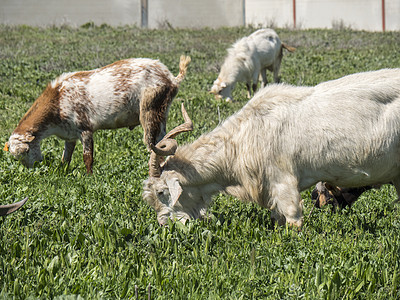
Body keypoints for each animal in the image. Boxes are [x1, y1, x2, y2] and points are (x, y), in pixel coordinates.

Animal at [3, 56, 191, 173]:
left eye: (26, 150)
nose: (33, 168)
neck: (57, 99)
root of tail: (171, 78)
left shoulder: (85, 129)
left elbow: (88, 157)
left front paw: (89, 177)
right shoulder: (69, 135)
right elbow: (66, 158)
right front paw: (62, 172)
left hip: (151, 111)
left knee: (155, 144)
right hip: (162, 114)